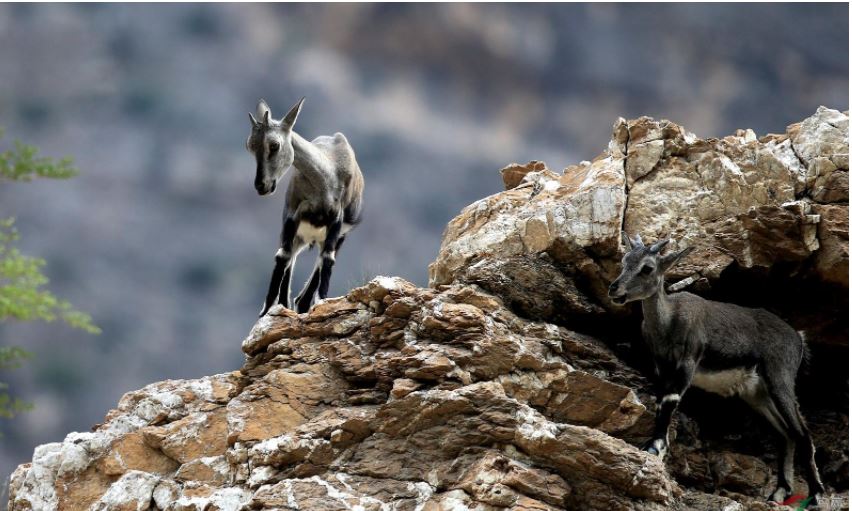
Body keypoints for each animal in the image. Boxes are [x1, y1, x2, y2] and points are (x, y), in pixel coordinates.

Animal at [608, 234, 824, 506]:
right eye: (625, 260)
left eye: (647, 268)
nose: (614, 289)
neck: (668, 322)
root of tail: (799, 338)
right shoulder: (662, 367)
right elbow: (661, 402)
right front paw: (657, 445)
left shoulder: (688, 361)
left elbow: (670, 400)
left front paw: (654, 447)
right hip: (757, 394)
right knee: (786, 435)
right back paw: (778, 493)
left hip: (780, 378)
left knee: (802, 433)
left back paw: (815, 493)